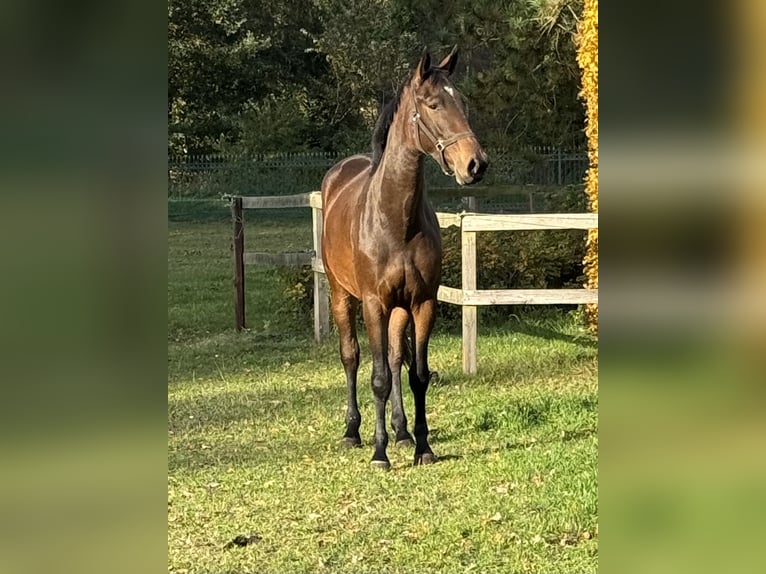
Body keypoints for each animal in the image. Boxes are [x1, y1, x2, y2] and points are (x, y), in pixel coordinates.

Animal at [320, 48, 488, 472]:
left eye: (463, 103)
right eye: (433, 104)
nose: (476, 164)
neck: (395, 220)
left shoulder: (422, 302)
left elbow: (417, 375)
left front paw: (421, 446)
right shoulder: (374, 304)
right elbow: (377, 377)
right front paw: (379, 454)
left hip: (399, 309)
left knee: (397, 359)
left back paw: (401, 431)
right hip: (341, 296)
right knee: (352, 357)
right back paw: (353, 432)